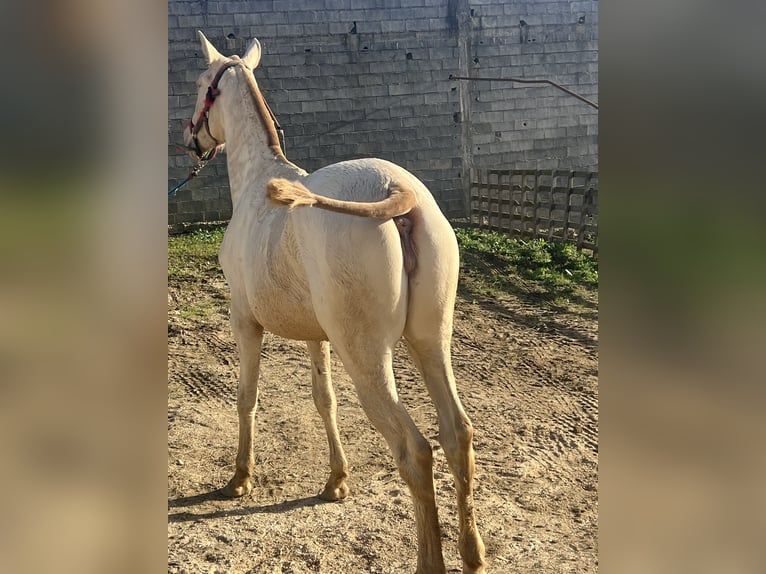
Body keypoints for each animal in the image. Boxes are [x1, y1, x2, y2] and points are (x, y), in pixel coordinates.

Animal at [182, 32, 486, 574]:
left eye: (201, 86)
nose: (187, 139)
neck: (258, 184)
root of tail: (396, 190)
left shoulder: (244, 322)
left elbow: (246, 397)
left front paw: (240, 479)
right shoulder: (316, 337)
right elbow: (325, 401)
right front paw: (336, 482)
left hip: (367, 359)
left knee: (416, 451)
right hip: (430, 343)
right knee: (458, 435)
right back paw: (473, 555)